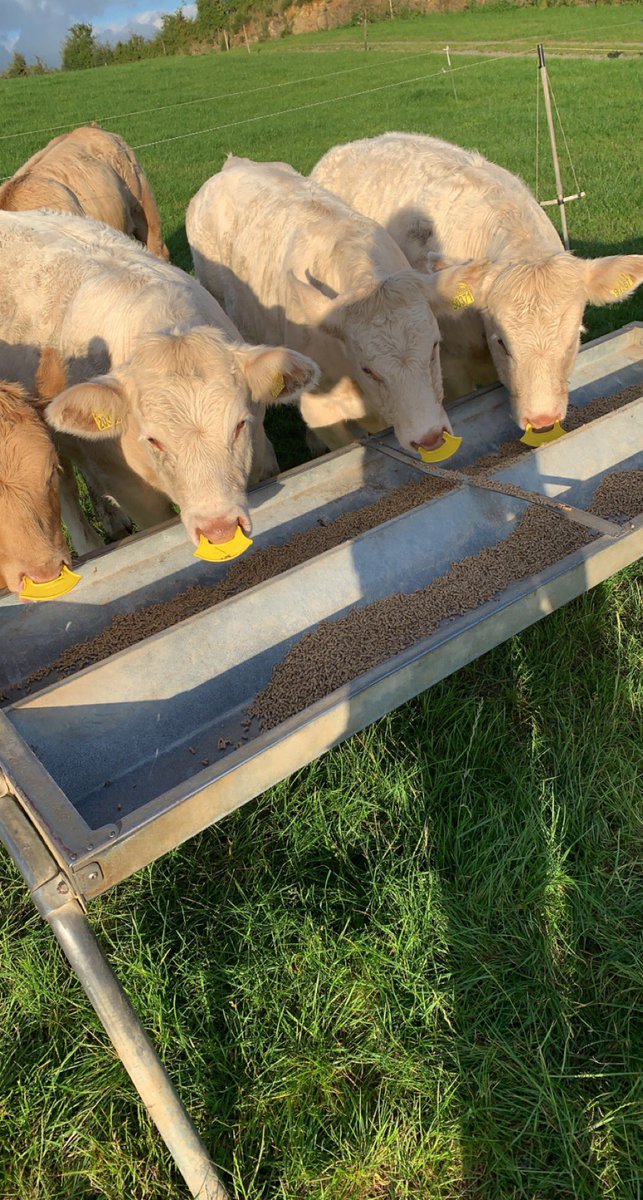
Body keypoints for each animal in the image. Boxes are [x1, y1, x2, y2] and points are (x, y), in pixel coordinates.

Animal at [0, 210, 319, 548]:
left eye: (239, 425)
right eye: (154, 440)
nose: (218, 527)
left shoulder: (259, 451)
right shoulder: (132, 491)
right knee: (63, 485)